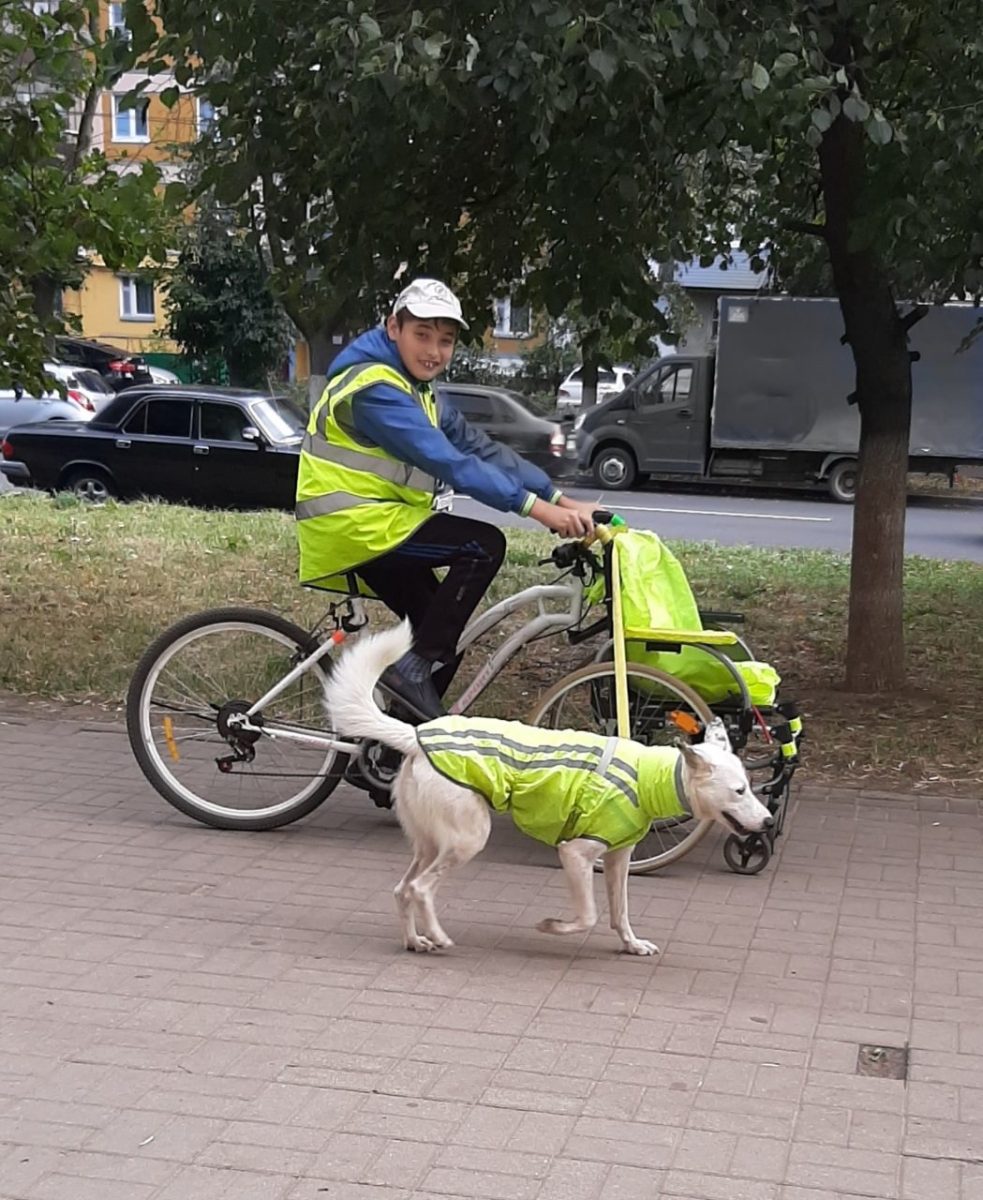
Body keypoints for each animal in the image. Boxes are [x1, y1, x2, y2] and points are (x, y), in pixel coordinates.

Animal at [326, 628, 772, 955]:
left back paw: (415, 941)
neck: (649, 776)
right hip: (468, 839)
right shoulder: (574, 854)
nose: (768, 822)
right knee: (420, 889)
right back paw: (437, 936)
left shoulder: (618, 860)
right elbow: (589, 915)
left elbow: (620, 913)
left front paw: (631, 945)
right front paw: (553, 926)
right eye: (739, 791)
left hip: (431, 843)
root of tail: (417, 735)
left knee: (403, 889)